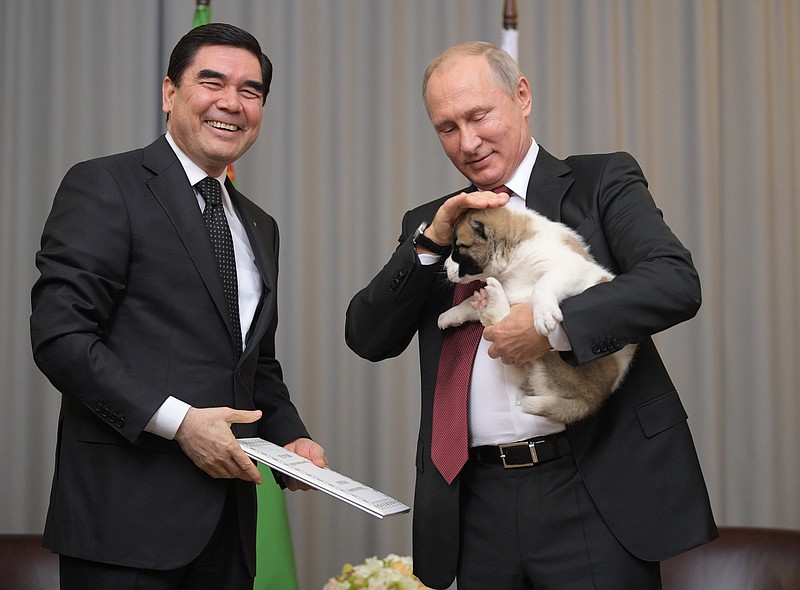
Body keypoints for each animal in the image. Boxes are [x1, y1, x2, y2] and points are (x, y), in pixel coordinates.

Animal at [438, 208, 636, 426]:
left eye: (458, 248)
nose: (445, 266)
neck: (513, 254)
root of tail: (594, 399)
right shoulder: (511, 290)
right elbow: (468, 304)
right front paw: (450, 315)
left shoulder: (570, 267)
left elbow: (544, 283)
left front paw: (544, 315)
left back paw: (493, 303)